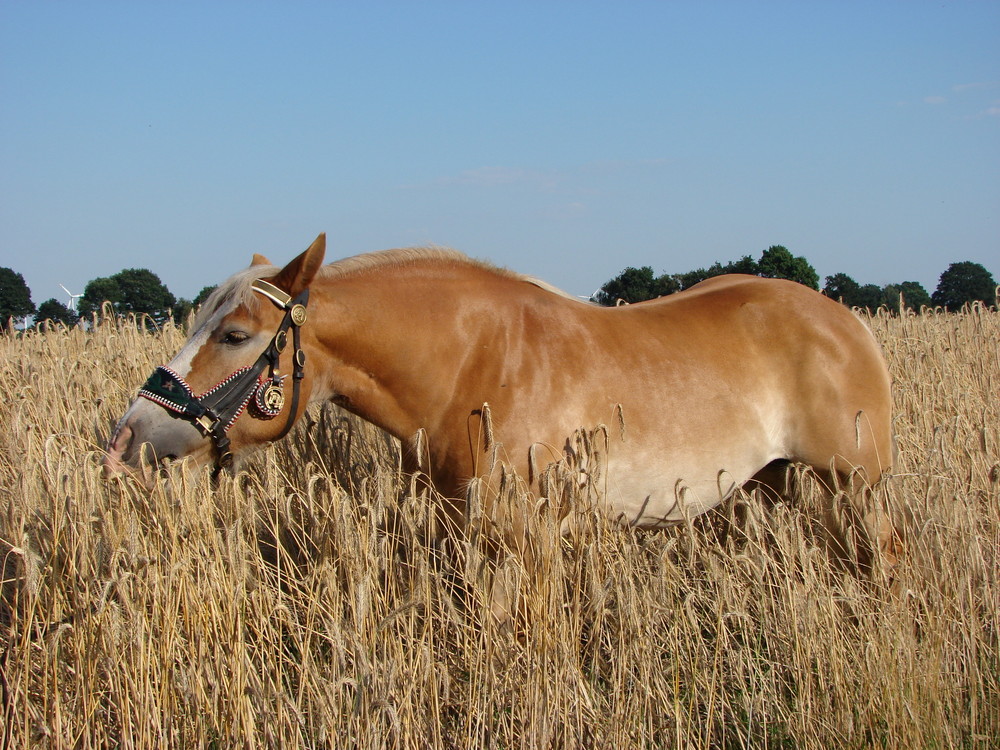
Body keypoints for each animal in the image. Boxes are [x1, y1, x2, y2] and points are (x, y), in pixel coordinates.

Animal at [103, 232, 900, 596]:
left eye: (237, 335)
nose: (126, 439)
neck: (476, 365)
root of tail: (846, 321)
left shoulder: (524, 539)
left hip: (856, 490)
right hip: (774, 483)